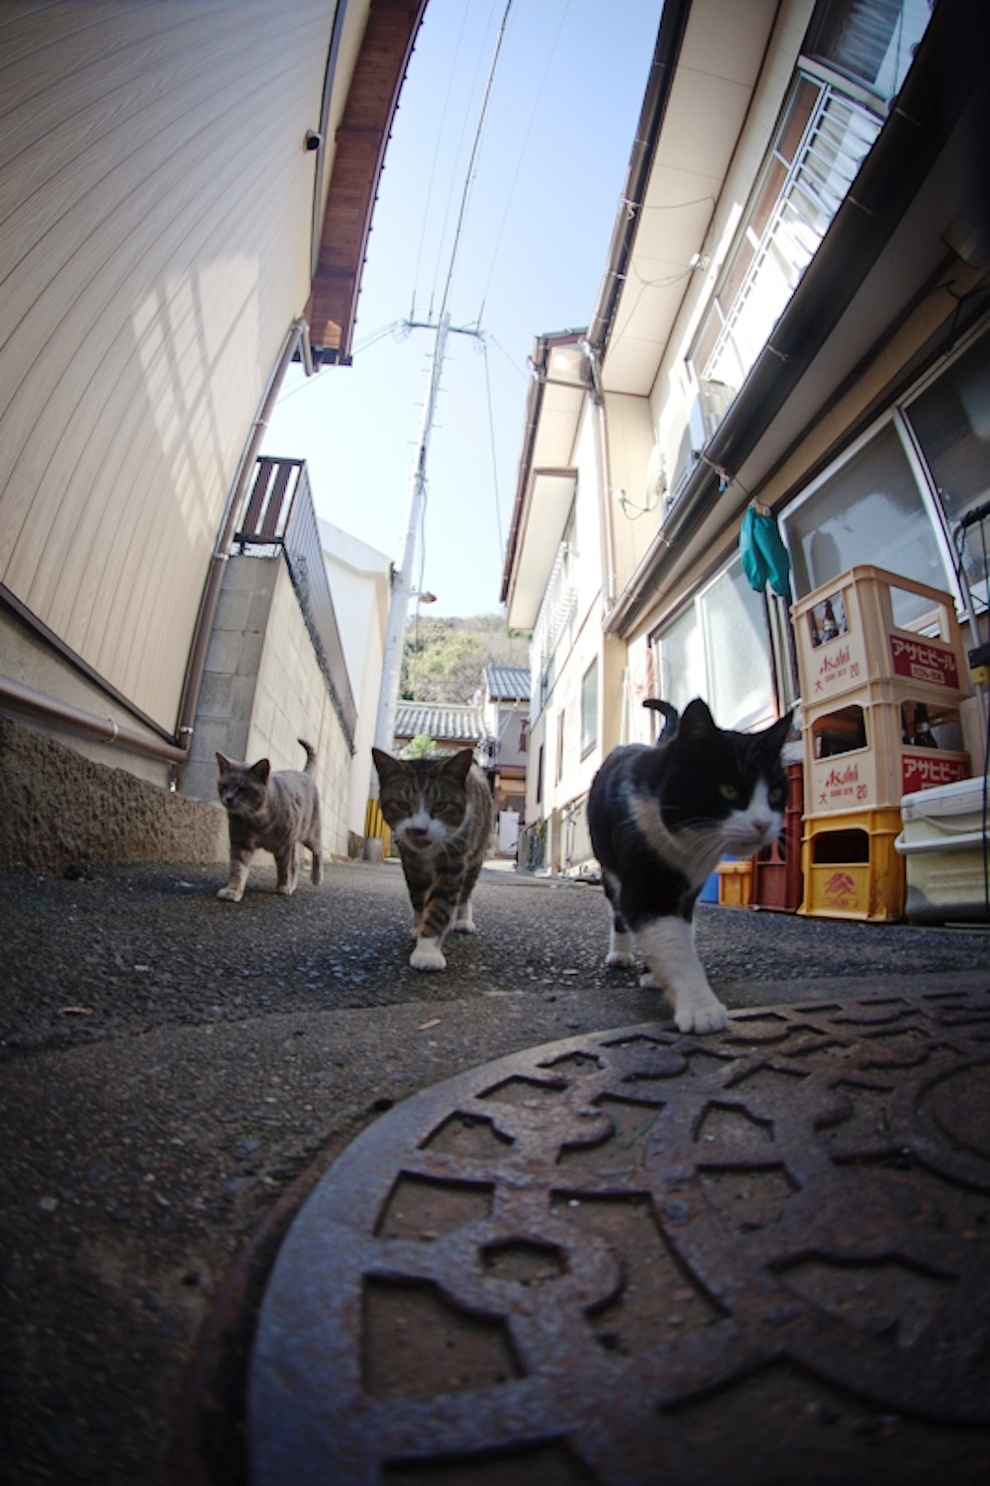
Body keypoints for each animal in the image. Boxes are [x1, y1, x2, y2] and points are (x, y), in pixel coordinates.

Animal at [214, 737, 322, 897]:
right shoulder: (241, 843)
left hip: (310, 833)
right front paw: (232, 890)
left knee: (317, 851)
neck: (257, 821)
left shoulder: (284, 846)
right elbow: (237, 868)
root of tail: (305, 774)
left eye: (242, 788)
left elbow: (284, 869)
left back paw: (316, 878)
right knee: (296, 863)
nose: (228, 798)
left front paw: (283, 887)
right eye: (224, 786)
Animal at [370, 743, 493, 974]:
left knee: (466, 891)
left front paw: (427, 952)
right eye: (402, 804)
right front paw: (419, 929)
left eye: (440, 805)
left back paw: (462, 920)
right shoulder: (412, 864)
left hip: (476, 853)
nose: (419, 830)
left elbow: (440, 905)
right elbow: (418, 899)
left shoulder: (454, 860)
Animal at [582, 698, 790, 1034]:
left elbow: (681, 935)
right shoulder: (647, 884)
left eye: (774, 794)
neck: (689, 844)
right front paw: (700, 1007)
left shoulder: (690, 889)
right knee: (618, 911)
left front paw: (658, 974)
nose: (763, 824)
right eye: (729, 790)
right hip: (610, 869)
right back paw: (620, 954)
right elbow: (671, 944)